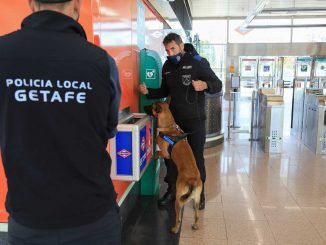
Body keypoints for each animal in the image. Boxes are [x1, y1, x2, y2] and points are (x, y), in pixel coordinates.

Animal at [145, 101, 202, 234]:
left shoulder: (166, 154)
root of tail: (192, 181)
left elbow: (159, 151)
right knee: (197, 215)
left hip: (178, 200)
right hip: (196, 200)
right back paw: (195, 225)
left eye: (151, 106)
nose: (144, 107)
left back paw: (175, 229)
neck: (169, 126)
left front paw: (154, 155)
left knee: (178, 218)